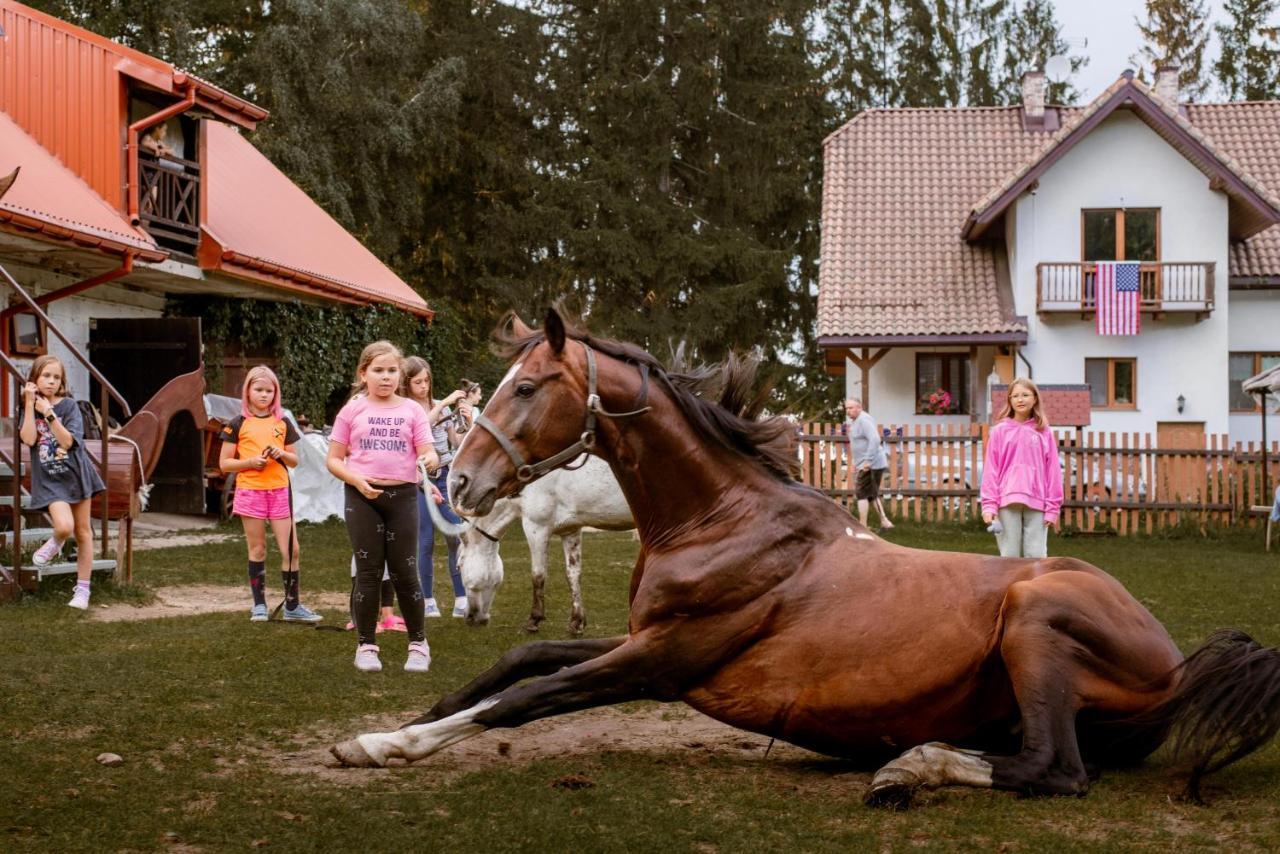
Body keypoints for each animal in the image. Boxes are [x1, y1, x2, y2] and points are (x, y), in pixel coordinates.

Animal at [335, 308, 1280, 809]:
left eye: (527, 388)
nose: (459, 479)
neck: (724, 519)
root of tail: (1177, 664)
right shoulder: (643, 639)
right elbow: (521, 656)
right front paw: (397, 723)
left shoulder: (663, 658)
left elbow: (525, 697)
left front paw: (392, 747)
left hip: (1036, 622)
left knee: (1058, 769)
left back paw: (911, 764)